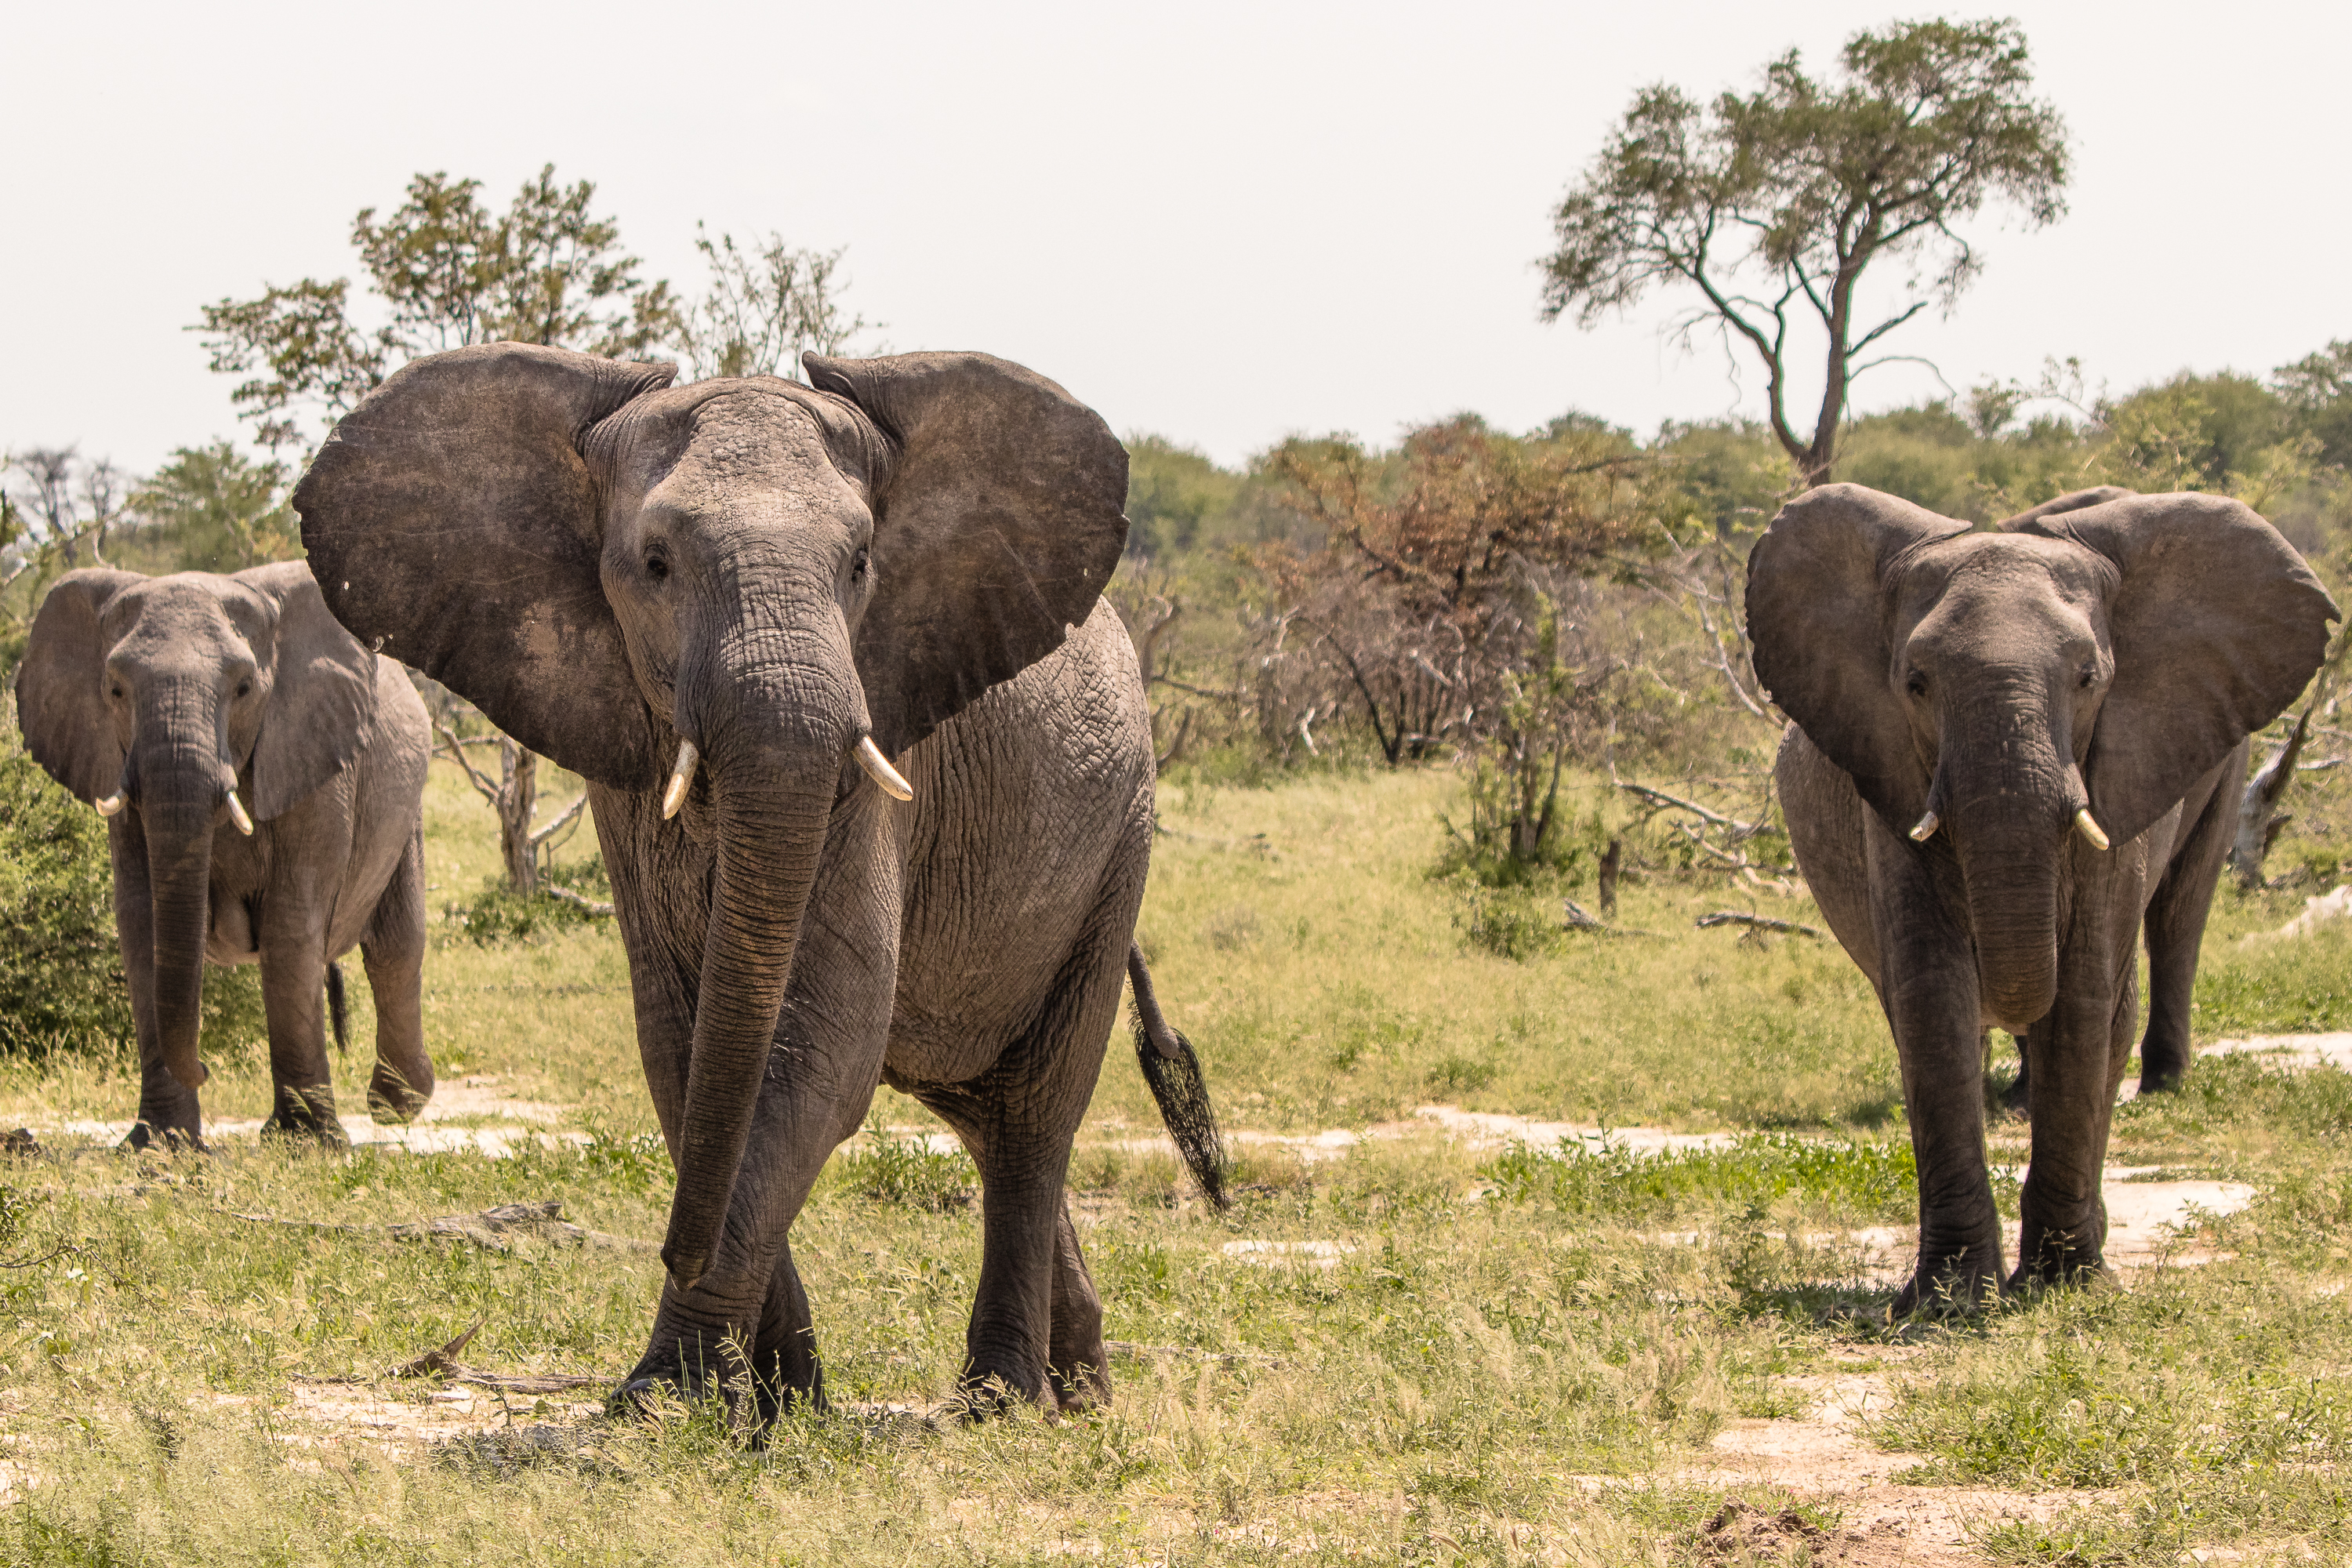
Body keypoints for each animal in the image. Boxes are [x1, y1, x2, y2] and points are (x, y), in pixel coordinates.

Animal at [14, 562, 436, 1148]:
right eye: (115, 689)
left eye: (243, 688)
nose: (207, 1068)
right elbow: (142, 924)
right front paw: (161, 1145)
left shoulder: (319, 765)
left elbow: (291, 924)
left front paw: (305, 1145)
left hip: (405, 804)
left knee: (396, 946)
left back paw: (396, 1106)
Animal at [291, 341, 1227, 1421]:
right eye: (655, 564)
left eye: (861, 563)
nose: (671, 1250)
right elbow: (685, 1047)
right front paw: (776, 1401)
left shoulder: (878, 747)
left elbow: (821, 1040)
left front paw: (674, 1396)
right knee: (981, 1109)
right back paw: (1078, 1392)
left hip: (1123, 834)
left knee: (1036, 1112)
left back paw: (999, 1400)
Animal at [1747, 483, 2335, 1312]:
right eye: (1915, 684)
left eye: (2088, 678)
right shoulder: (1889, 779)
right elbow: (1933, 995)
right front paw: (1952, 1302)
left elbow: (2085, 989)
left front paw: (2066, 1287)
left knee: (2177, 915)